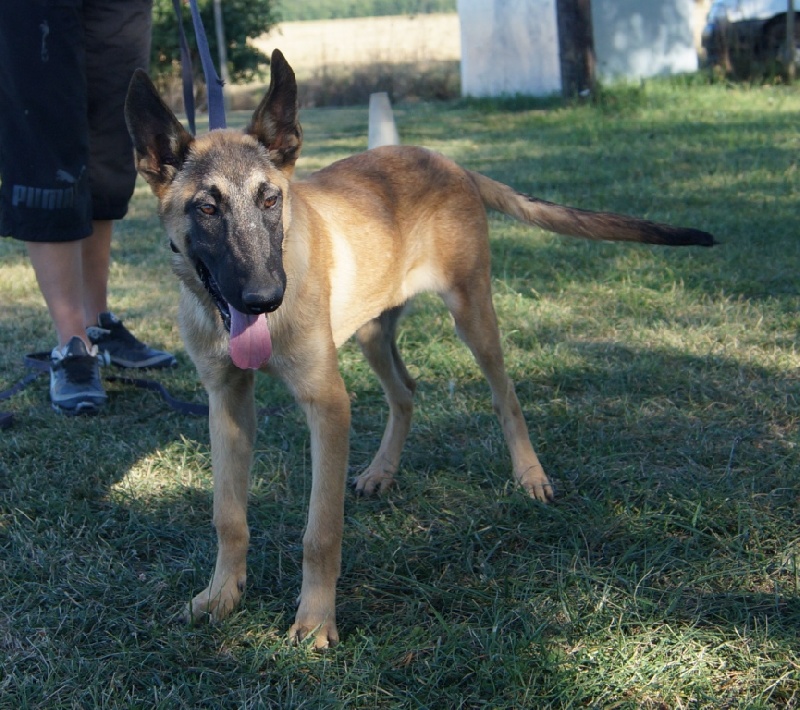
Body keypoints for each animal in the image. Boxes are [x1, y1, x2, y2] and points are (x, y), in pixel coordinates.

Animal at [124, 50, 714, 648]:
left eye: (271, 200)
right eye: (207, 209)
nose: (266, 298)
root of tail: (450, 163)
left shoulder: (327, 404)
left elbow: (321, 531)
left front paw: (315, 619)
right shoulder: (227, 403)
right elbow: (228, 517)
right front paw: (221, 595)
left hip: (472, 314)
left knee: (505, 395)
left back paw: (530, 475)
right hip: (372, 332)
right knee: (406, 391)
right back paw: (383, 470)